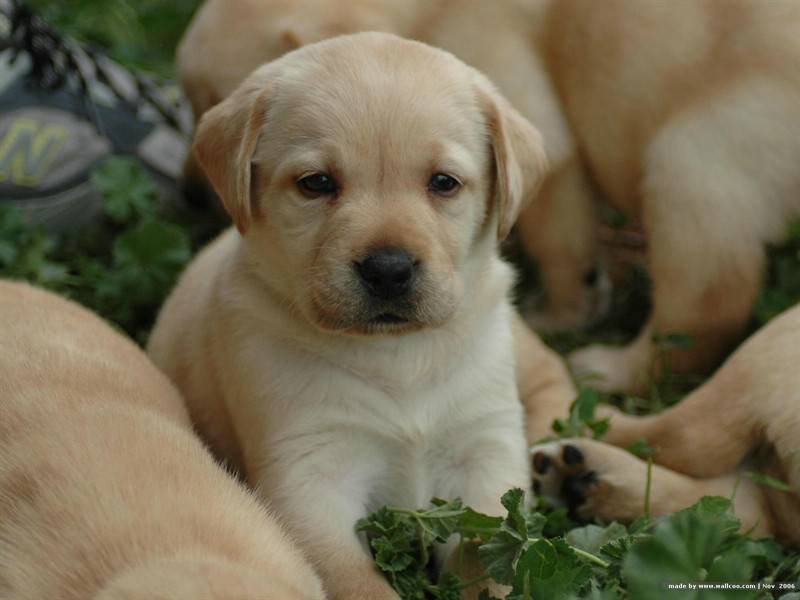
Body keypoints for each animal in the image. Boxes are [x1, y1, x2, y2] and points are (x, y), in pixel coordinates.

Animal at [148, 31, 576, 600]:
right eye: (316, 183)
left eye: (444, 182)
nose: (389, 269)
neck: (397, 353)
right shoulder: (308, 478)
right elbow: (352, 578)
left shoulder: (485, 452)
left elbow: (489, 556)